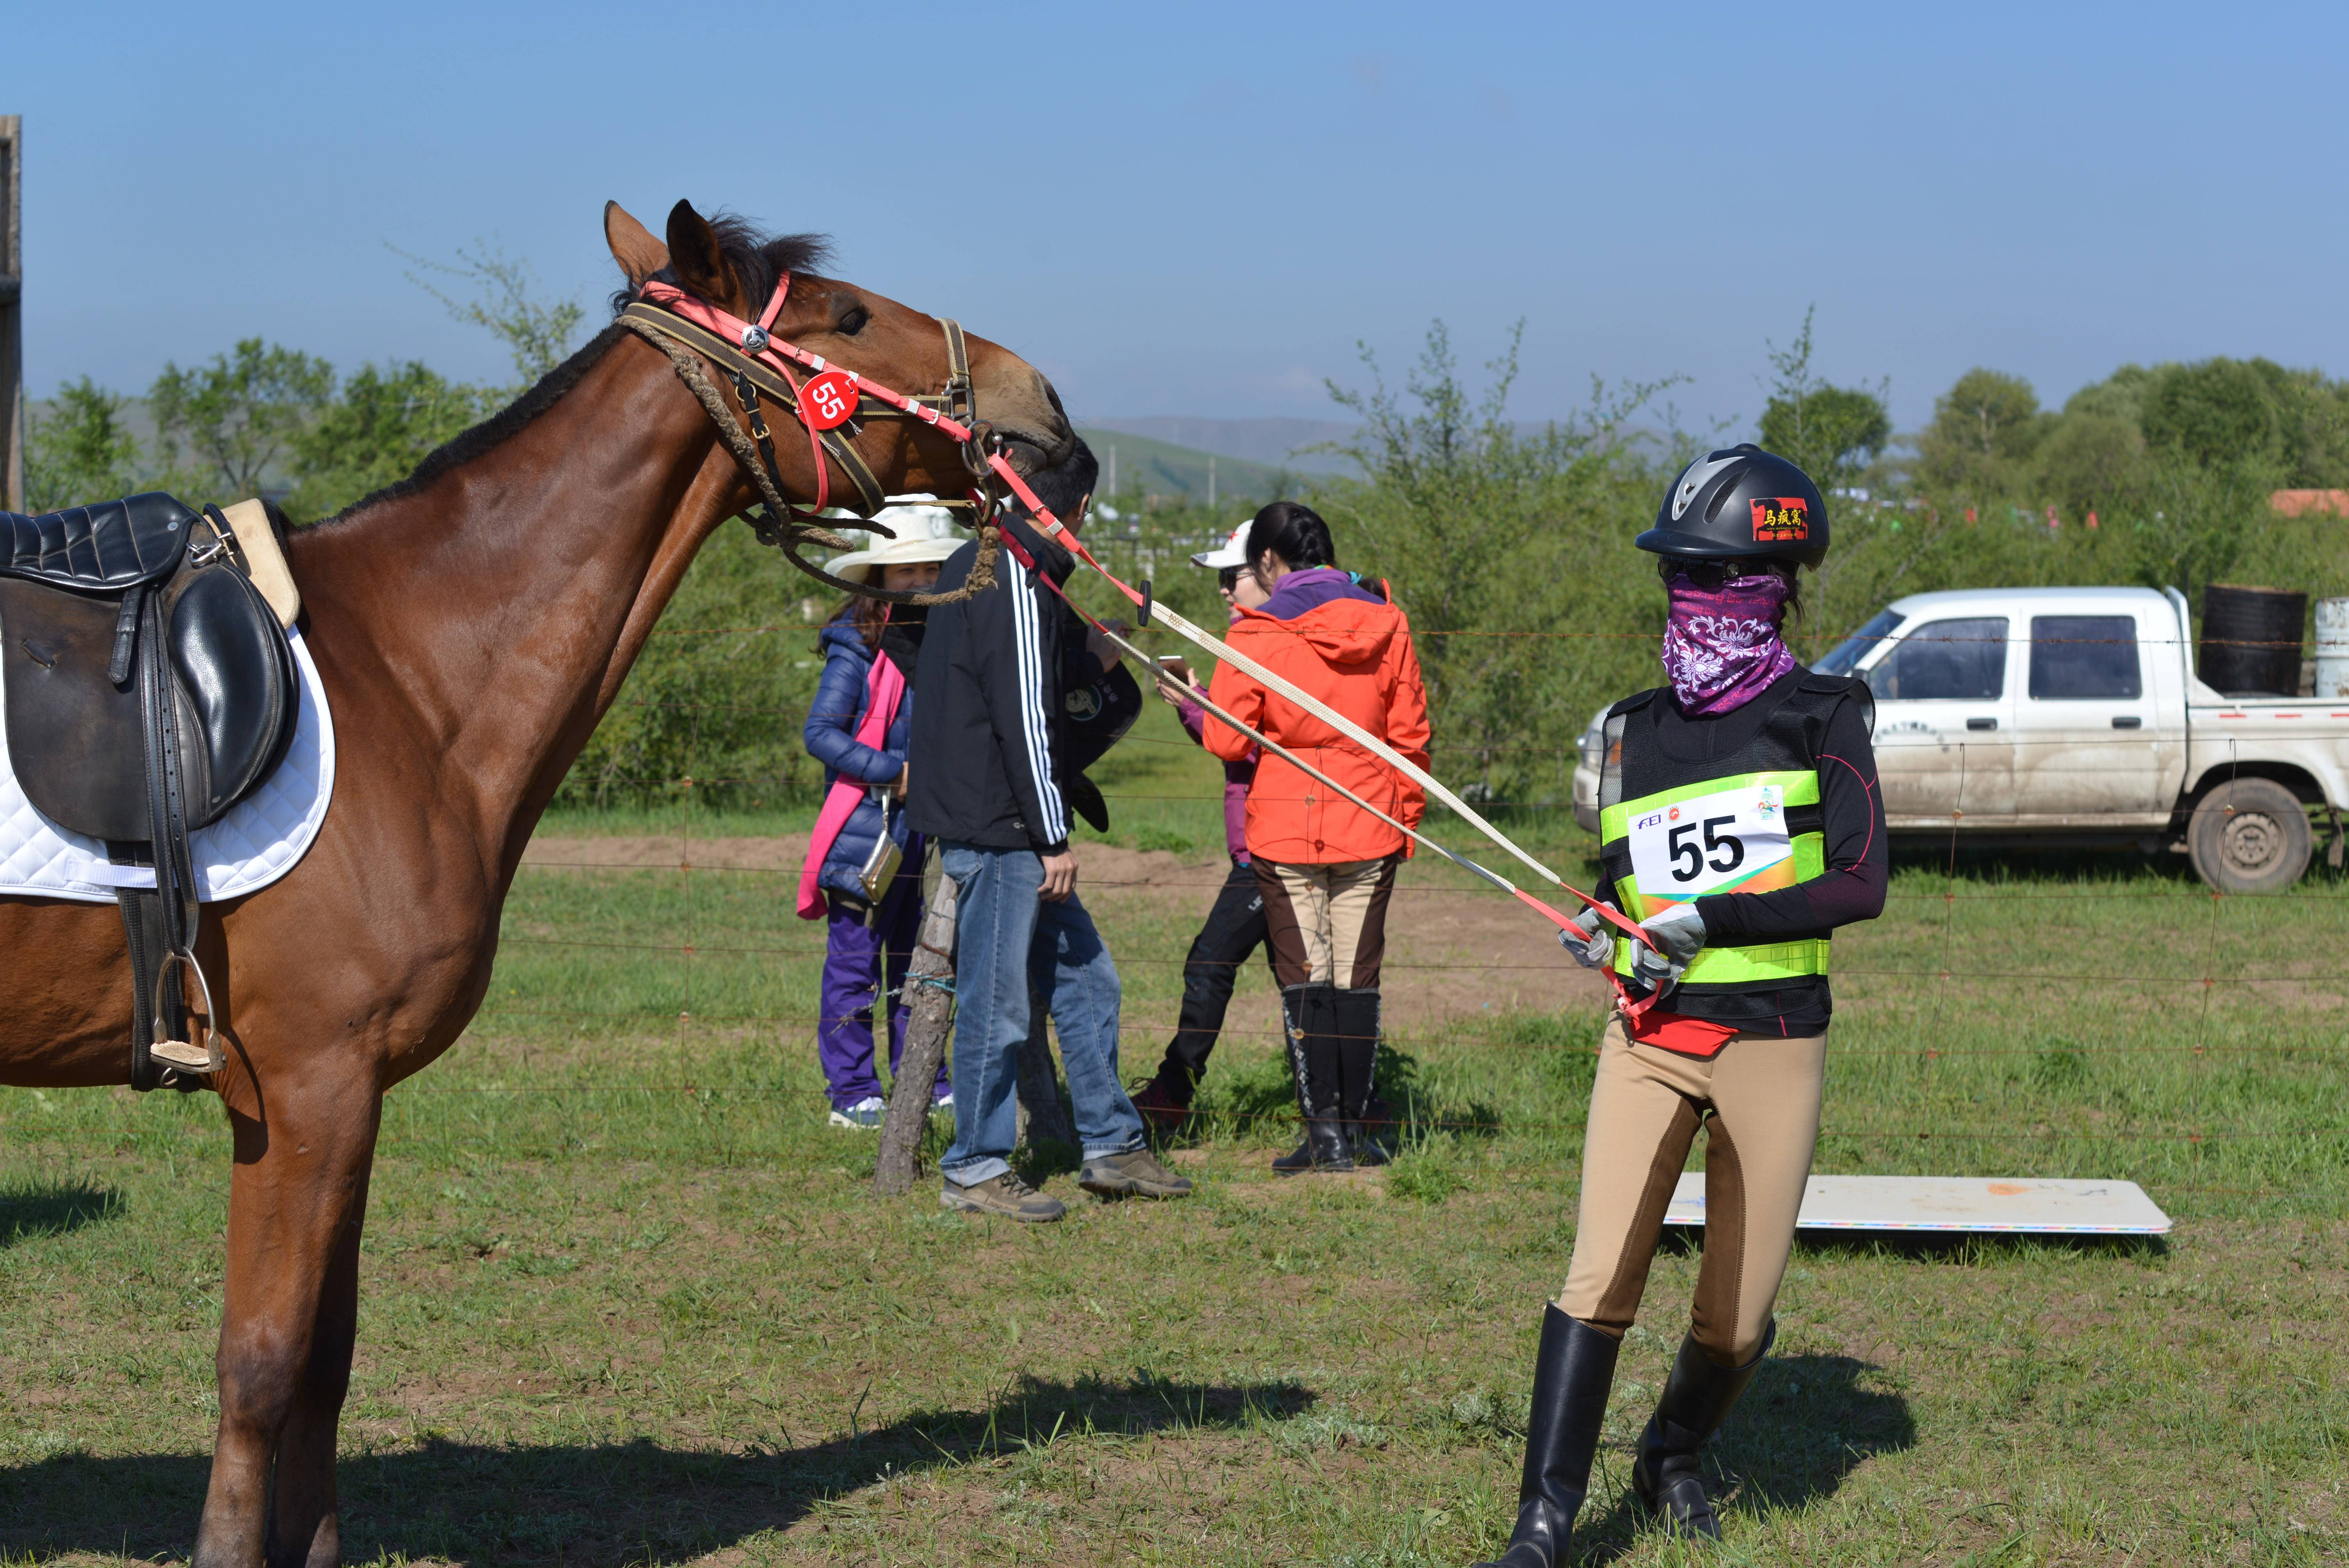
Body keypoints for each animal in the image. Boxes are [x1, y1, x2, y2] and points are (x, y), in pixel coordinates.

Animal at [0, 202, 1080, 1558]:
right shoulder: (306, 1090)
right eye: (846, 315)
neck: (405, 674)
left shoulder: (329, 1103)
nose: (1042, 404)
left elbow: (324, 1365)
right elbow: (262, 1361)